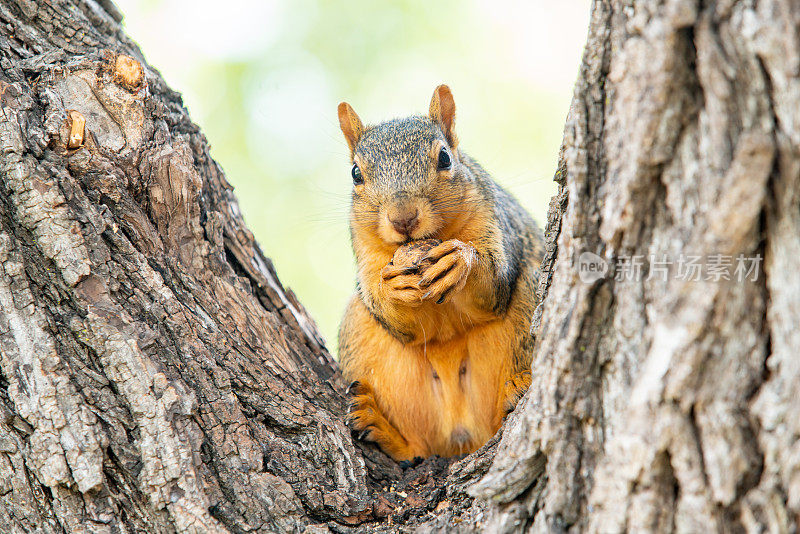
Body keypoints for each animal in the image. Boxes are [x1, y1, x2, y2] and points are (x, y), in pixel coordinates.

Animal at [334, 86, 548, 462]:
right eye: (356, 174)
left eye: (445, 158)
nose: (403, 218)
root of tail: (460, 431)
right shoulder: (366, 253)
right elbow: (396, 319)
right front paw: (392, 288)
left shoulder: (492, 218)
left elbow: (493, 286)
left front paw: (461, 260)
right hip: (364, 337)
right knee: (416, 448)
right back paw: (382, 427)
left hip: (530, 292)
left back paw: (517, 388)